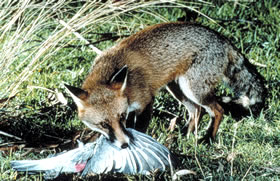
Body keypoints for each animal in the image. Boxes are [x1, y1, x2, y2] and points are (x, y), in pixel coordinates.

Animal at [64, 21, 266, 149]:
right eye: (103, 124)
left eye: (121, 117)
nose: (124, 145)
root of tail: (223, 39)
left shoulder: (145, 102)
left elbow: (139, 129)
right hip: (178, 90)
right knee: (196, 111)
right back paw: (184, 136)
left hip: (194, 90)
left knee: (218, 110)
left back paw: (207, 139)